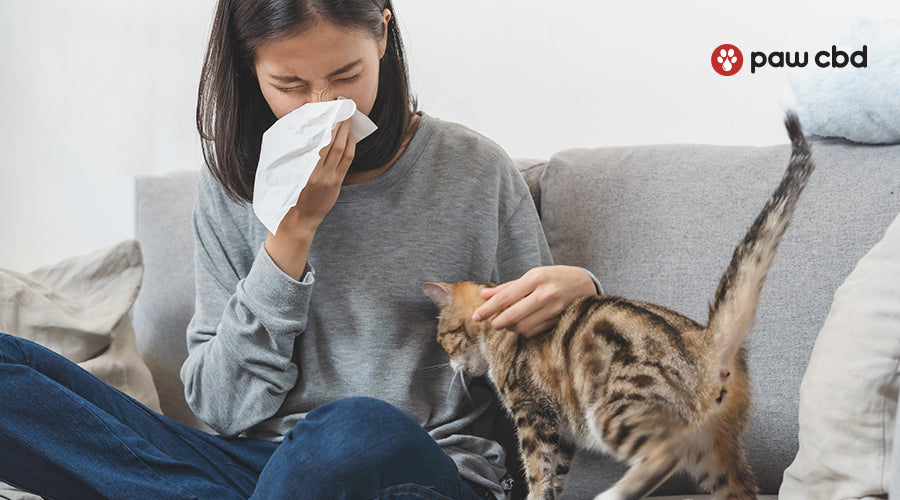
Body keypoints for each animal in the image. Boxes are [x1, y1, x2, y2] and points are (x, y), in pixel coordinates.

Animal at [426, 114, 812, 500]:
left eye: (444, 338)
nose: (450, 365)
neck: (497, 333)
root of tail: (706, 341)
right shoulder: (561, 432)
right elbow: (555, 475)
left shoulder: (533, 413)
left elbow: (537, 470)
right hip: (713, 447)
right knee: (739, 487)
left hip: (615, 410)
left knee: (665, 453)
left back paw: (615, 492)